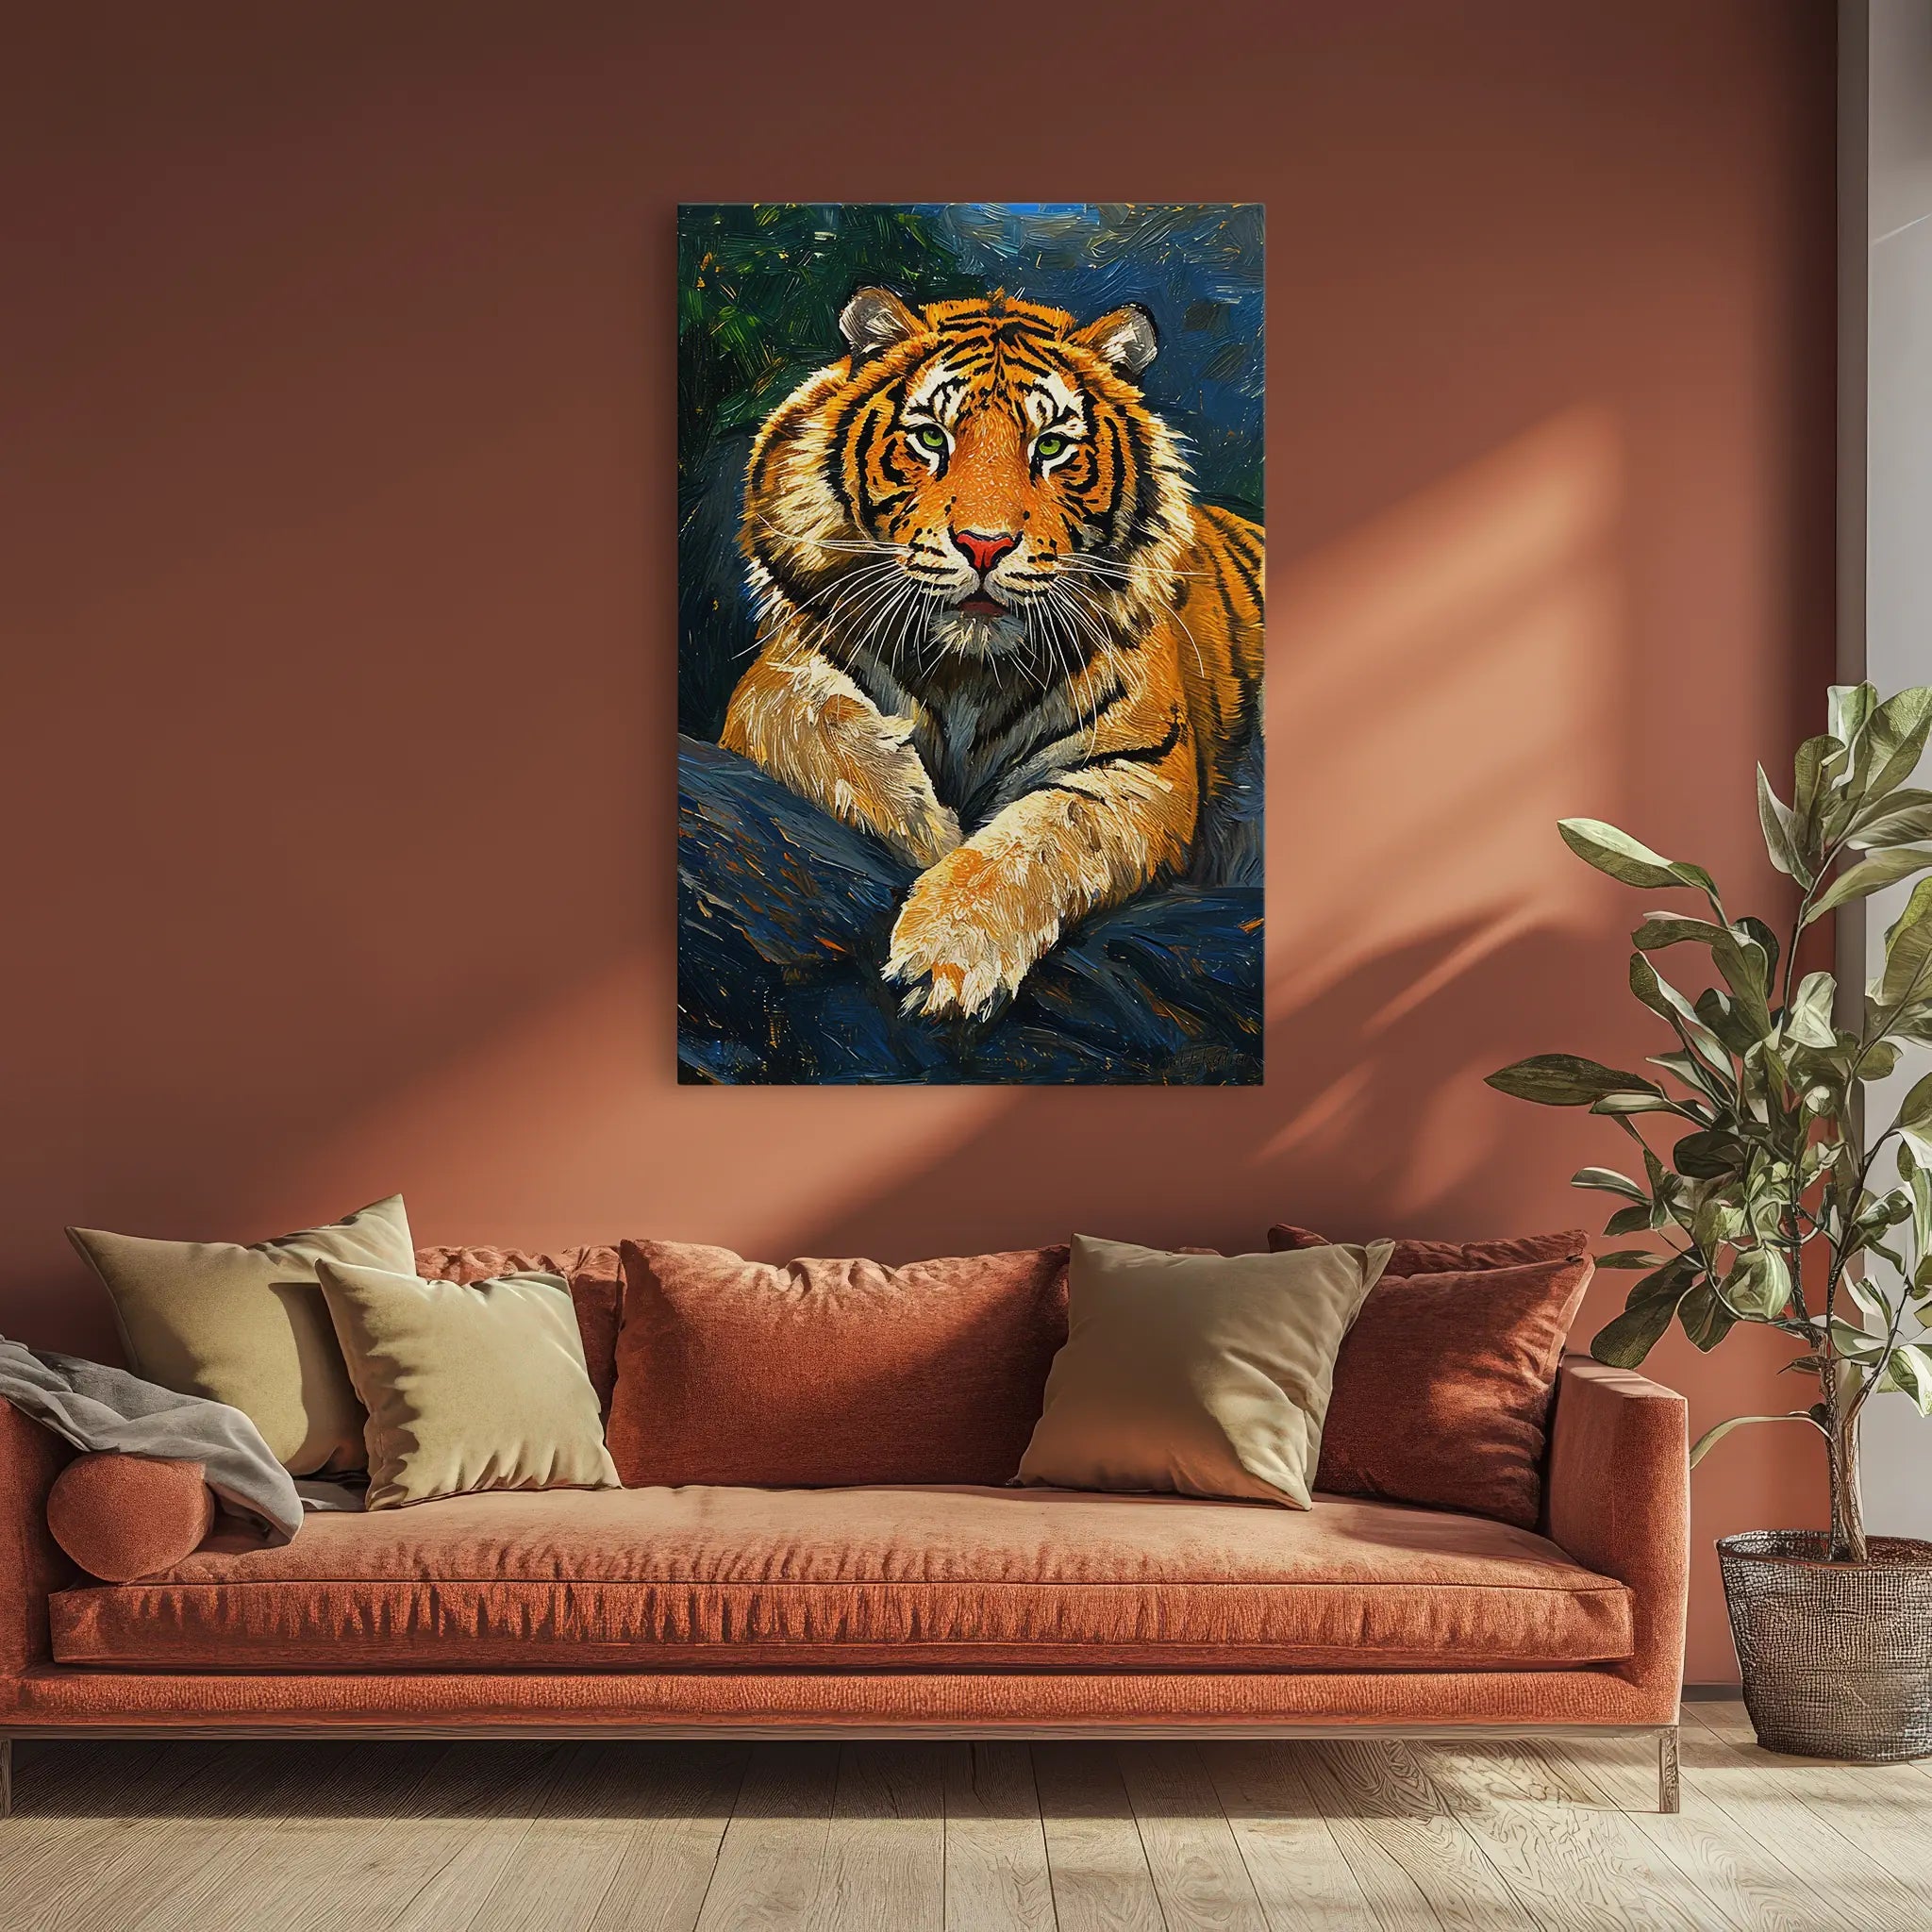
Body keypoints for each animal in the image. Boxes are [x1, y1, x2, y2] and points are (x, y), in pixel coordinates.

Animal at [720, 285, 1263, 1021]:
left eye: (1053, 446)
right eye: (931, 437)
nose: (985, 545)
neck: (966, 674)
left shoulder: (1141, 766)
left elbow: (1041, 836)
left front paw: (948, 949)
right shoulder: (774, 674)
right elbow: (809, 720)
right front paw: (923, 824)